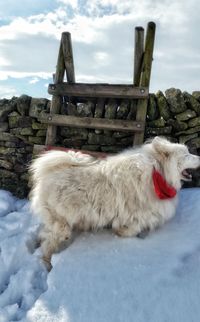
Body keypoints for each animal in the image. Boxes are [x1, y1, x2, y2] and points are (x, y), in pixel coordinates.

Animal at [29, 137, 200, 262]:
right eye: (186, 155)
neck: (157, 173)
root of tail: (49, 173)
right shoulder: (135, 216)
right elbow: (130, 229)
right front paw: (121, 233)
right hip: (61, 224)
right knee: (48, 244)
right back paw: (47, 263)